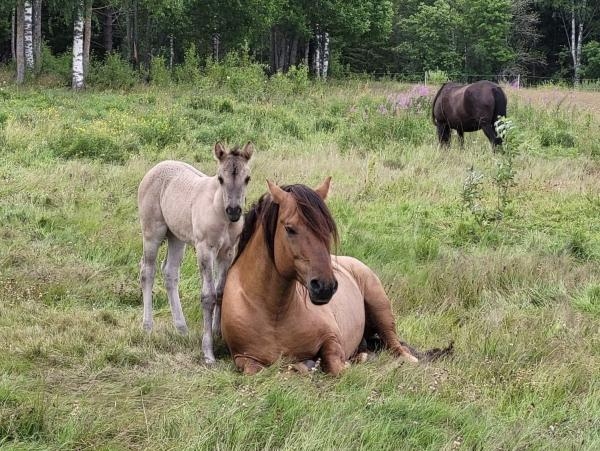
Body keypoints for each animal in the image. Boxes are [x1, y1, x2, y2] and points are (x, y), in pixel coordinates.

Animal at [220, 178, 450, 376]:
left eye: (327, 229)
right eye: (290, 229)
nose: (325, 287)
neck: (274, 313)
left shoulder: (331, 339)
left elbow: (333, 365)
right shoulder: (243, 358)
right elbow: (259, 370)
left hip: (380, 307)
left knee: (396, 346)